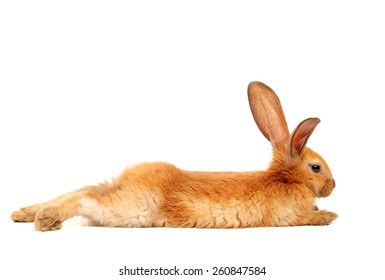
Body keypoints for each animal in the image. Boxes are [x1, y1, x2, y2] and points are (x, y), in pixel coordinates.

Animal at [11, 82, 336, 231]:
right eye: (316, 167)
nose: (333, 187)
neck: (286, 179)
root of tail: (127, 181)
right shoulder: (288, 216)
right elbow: (304, 218)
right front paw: (329, 216)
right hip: (131, 210)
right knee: (84, 198)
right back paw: (45, 219)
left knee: (85, 189)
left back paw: (24, 214)